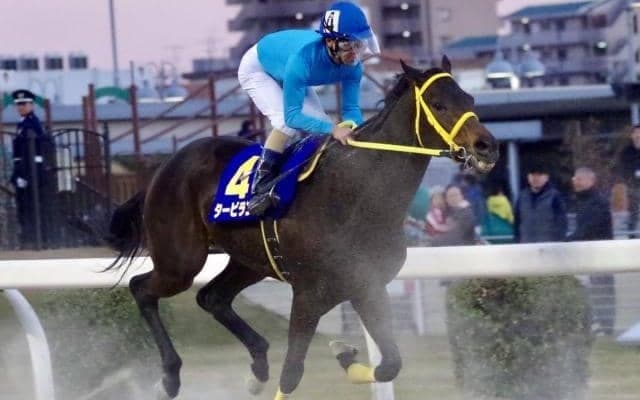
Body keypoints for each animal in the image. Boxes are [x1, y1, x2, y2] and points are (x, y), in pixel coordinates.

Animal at [105, 57, 499, 399]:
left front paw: (344, 354)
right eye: (438, 104)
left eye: (469, 99)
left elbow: (391, 364)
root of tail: (162, 168)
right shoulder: (309, 295)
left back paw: (256, 369)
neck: (357, 194)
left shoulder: (366, 286)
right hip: (180, 261)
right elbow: (292, 373)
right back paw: (169, 378)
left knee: (211, 297)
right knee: (142, 288)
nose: (487, 146)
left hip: (249, 260)